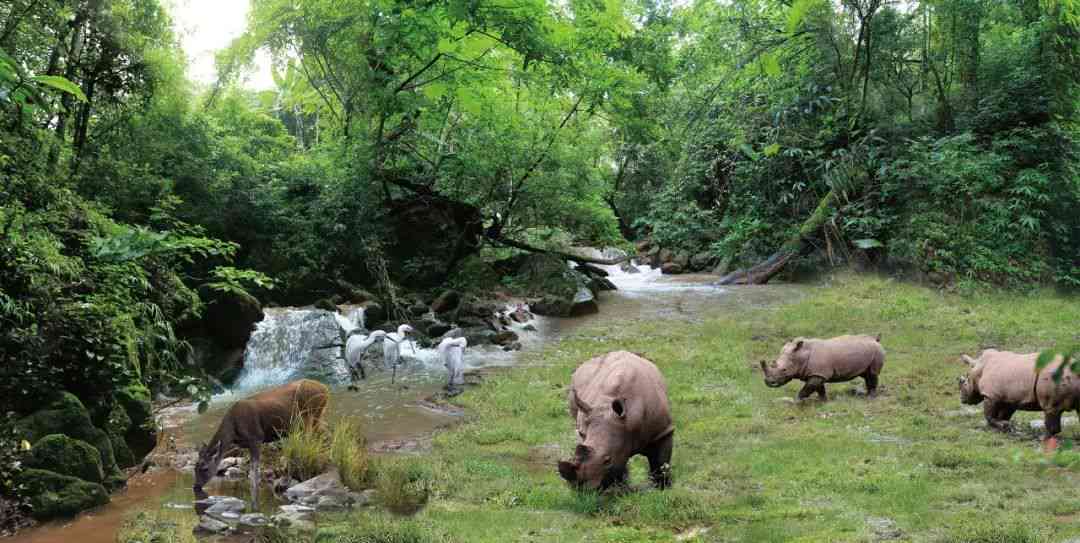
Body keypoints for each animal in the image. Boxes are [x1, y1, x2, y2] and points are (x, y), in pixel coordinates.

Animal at [194, 379, 328, 503]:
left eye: (205, 468)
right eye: (194, 468)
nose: (195, 486)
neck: (233, 433)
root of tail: (325, 389)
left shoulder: (256, 437)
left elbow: (254, 472)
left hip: (311, 413)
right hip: (316, 418)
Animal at [561, 351, 669, 492]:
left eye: (608, 461)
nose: (581, 488)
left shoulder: (662, 431)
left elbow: (661, 463)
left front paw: (663, 488)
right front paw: (620, 489)